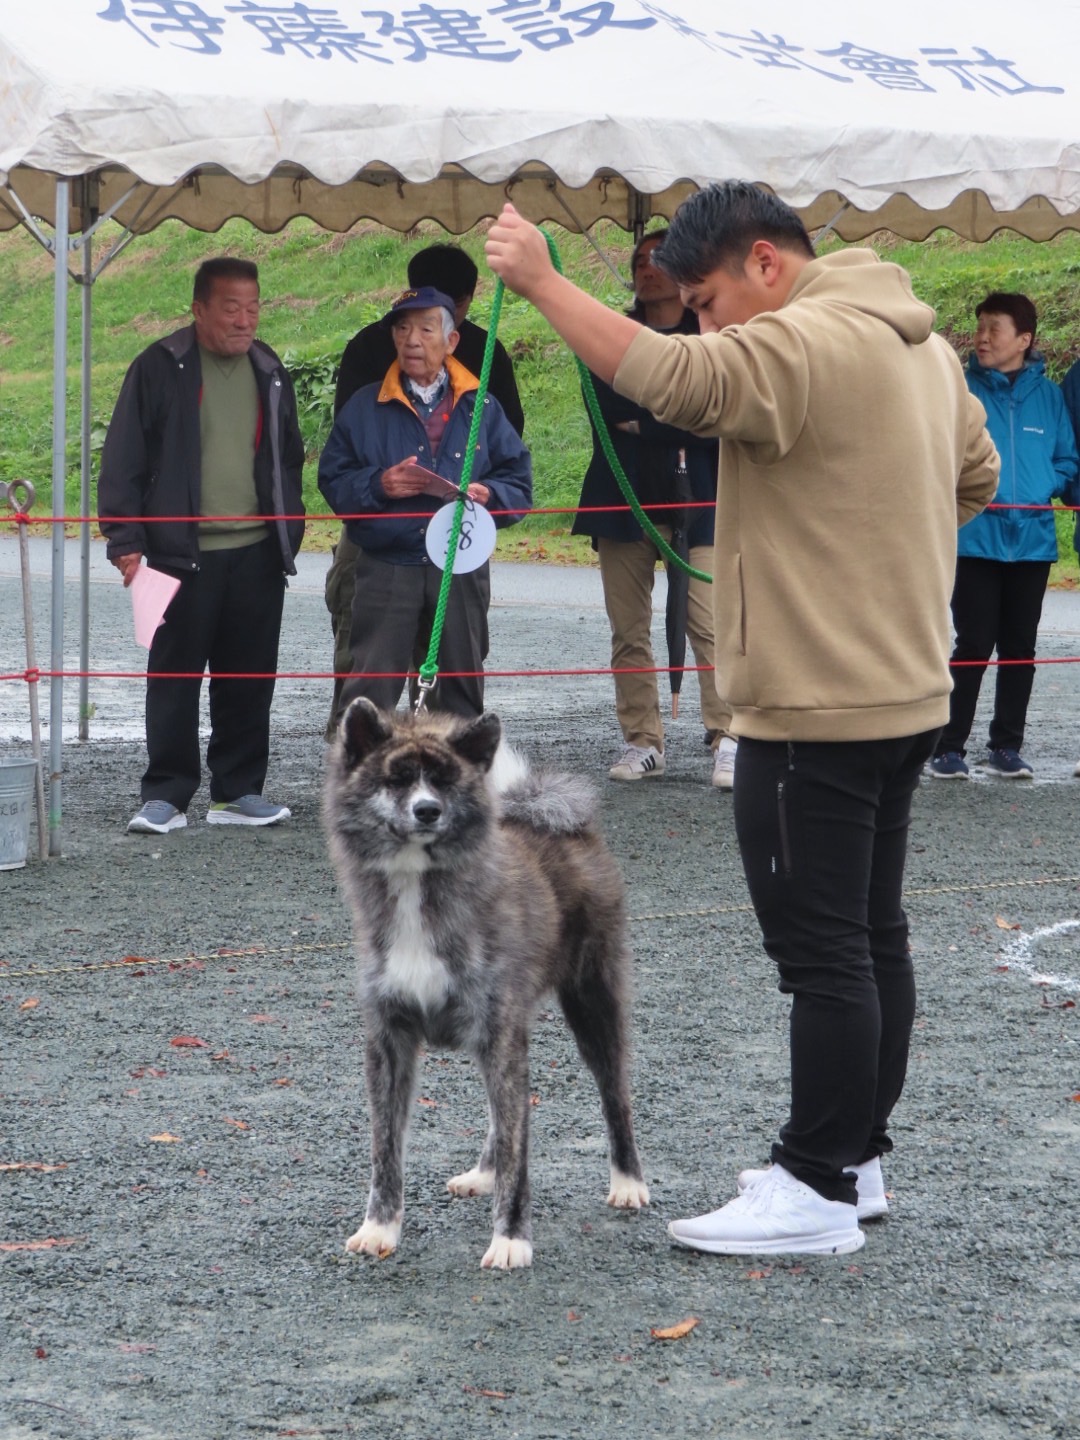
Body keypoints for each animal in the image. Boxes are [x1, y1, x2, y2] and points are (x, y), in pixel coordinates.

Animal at [322, 697, 649, 1270]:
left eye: (445, 781)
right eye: (397, 778)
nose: (427, 811)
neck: (418, 892)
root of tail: (564, 826)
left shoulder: (499, 1032)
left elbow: (521, 1152)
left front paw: (511, 1238)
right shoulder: (390, 1040)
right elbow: (385, 1149)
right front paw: (380, 1228)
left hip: (593, 1003)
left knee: (614, 1095)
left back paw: (628, 1181)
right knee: (503, 1116)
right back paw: (483, 1172)